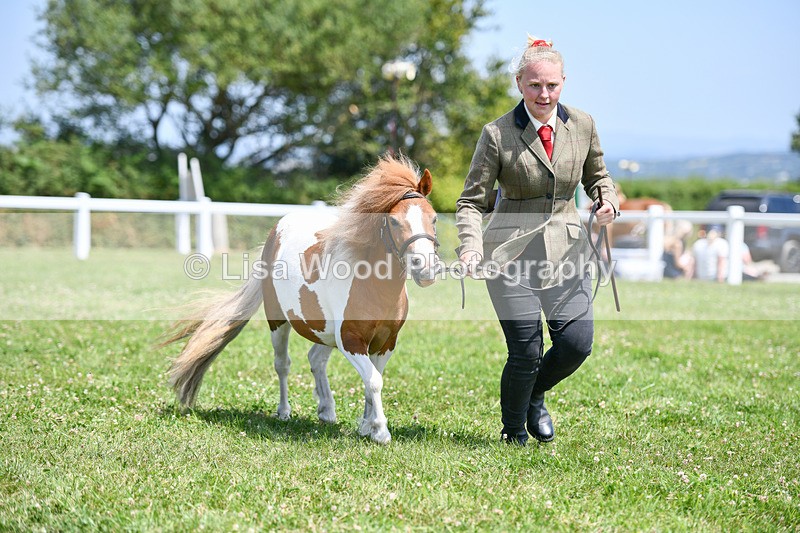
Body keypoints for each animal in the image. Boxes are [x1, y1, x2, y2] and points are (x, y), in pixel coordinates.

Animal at [161, 155, 440, 444]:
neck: (374, 288)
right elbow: (374, 381)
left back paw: (326, 411)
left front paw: (366, 427)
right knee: (282, 364)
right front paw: (381, 431)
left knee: (316, 359)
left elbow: (370, 382)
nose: (426, 269)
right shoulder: (350, 341)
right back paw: (284, 411)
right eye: (394, 221)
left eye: (434, 218)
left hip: (323, 329)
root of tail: (276, 231)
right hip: (279, 323)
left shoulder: (386, 343)